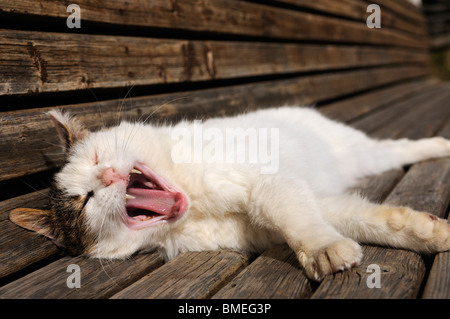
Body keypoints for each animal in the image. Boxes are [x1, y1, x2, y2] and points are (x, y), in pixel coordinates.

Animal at [7, 108, 450, 282]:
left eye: (97, 157)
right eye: (86, 200)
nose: (109, 173)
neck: (195, 207)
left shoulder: (271, 185)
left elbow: (294, 219)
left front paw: (321, 248)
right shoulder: (311, 201)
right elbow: (367, 219)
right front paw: (429, 233)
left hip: (364, 151)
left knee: (400, 148)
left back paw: (439, 146)